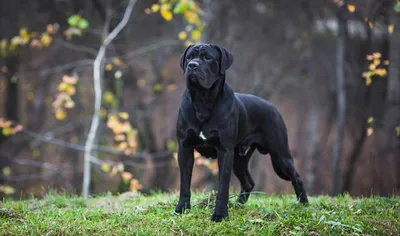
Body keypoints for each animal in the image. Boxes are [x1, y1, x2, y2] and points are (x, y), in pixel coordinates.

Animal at [173, 43, 308, 222]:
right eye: (189, 57)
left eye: (207, 57)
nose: (192, 65)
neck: (203, 99)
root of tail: (272, 106)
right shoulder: (185, 148)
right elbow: (184, 183)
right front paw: (181, 210)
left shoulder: (225, 151)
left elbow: (223, 186)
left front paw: (220, 214)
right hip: (240, 159)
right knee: (248, 182)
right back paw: (238, 205)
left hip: (280, 156)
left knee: (296, 178)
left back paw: (304, 205)